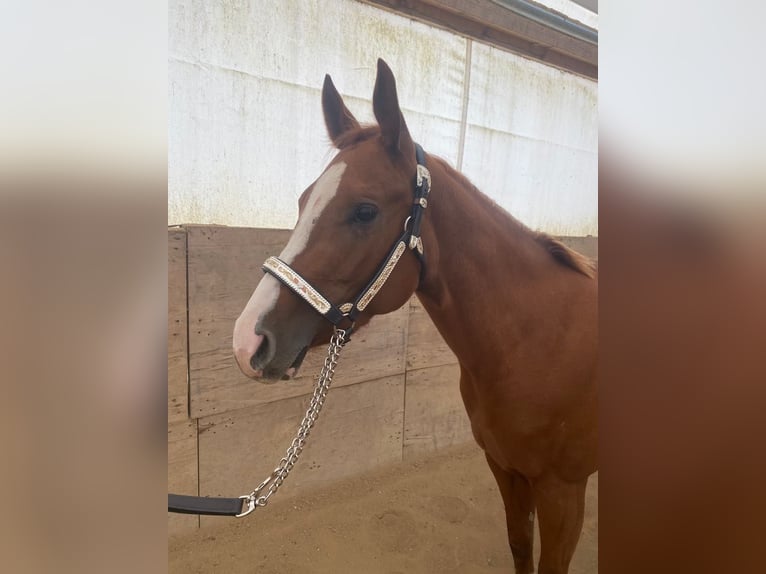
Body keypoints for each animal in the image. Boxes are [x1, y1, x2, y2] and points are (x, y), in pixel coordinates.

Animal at [234, 59, 600, 574]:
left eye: (364, 211)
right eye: (304, 201)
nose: (247, 341)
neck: (538, 343)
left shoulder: (562, 491)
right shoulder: (506, 470)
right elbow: (517, 545)